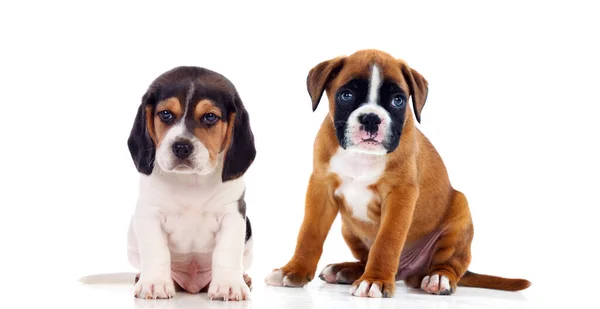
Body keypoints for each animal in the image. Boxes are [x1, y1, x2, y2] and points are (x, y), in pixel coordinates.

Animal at [126, 66, 255, 300]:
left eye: (210, 117)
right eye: (166, 114)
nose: (181, 147)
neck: (191, 181)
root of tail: (192, 285)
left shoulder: (233, 215)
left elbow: (227, 252)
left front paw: (229, 285)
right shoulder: (149, 214)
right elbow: (156, 251)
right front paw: (155, 284)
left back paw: (244, 278)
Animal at [266, 49, 528, 298]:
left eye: (398, 100)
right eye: (346, 95)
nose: (371, 118)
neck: (362, 157)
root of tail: (407, 273)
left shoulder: (400, 196)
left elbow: (387, 241)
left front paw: (375, 280)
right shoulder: (321, 188)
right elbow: (309, 233)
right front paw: (294, 270)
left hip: (460, 211)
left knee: (452, 264)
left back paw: (438, 278)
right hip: (348, 228)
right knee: (364, 258)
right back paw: (346, 270)